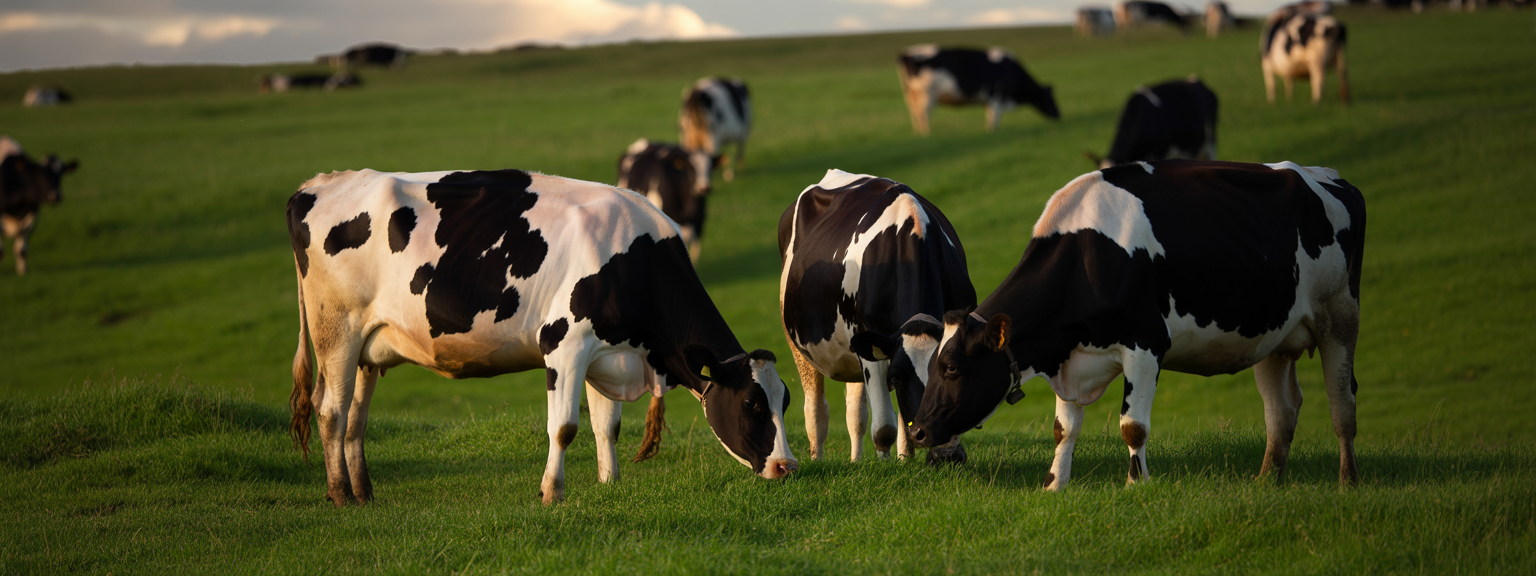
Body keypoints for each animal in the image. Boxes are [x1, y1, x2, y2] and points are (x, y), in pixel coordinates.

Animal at [0, 136, 78, 275]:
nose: (54, 196)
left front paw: (23, 272)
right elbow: (1, 252)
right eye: (41, 174)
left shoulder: (32, 215)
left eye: (60, 175)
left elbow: (22, 251)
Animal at [286, 168, 798, 507]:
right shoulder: (565, 345)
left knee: (355, 418)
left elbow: (606, 426)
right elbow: (565, 427)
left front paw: (608, 484)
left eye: (785, 400)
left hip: (367, 348)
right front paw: (552, 493)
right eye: (752, 404)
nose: (788, 466)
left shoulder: (605, 353)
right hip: (337, 332)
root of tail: (319, 184)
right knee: (330, 411)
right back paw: (340, 496)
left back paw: (364, 492)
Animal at [779, 169, 977, 463]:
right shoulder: (875, 347)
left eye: (950, 370)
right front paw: (885, 464)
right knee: (816, 409)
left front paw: (907, 459)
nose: (944, 455)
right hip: (798, 341)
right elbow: (884, 427)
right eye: (896, 378)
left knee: (855, 413)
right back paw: (817, 459)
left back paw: (857, 460)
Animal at [897, 45, 1060, 136]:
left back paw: (918, 132)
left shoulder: (988, 100)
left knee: (915, 113)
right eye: (1049, 98)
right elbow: (994, 118)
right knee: (923, 113)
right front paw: (993, 132)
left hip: (912, 95)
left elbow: (990, 117)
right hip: (927, 94)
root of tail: (906, 52)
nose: (1059, 115)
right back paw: (927, 133)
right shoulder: (996, 97)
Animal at [900, 160, 1366, 490]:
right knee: (1281, 410)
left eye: (951, 368)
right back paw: (1267, 480)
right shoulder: (1069, 356)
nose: (918, 431)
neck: (1088, 255)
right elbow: (1063, 429)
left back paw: (1348, 481)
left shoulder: (1146, 345)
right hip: (1275, 338)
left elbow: (1132, 425)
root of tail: (1328, 177)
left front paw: (1135, 485)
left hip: (1340, 318)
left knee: (1342, 404)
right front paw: (1054, 486)